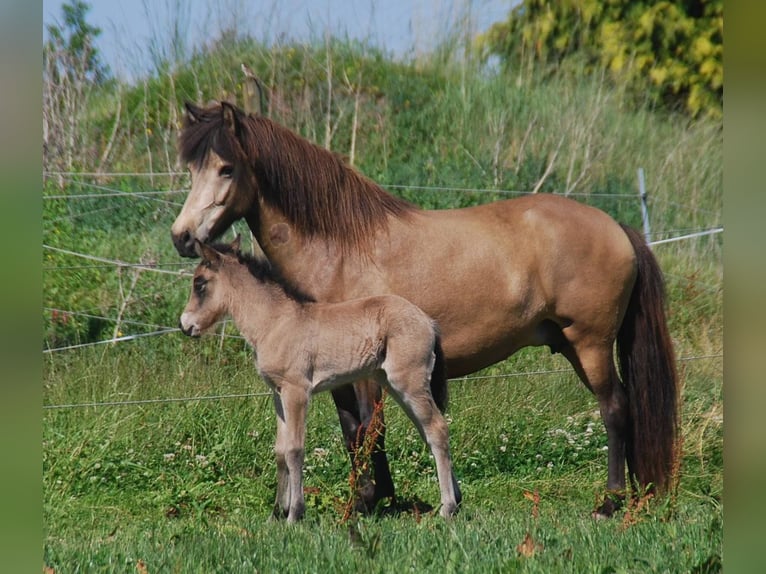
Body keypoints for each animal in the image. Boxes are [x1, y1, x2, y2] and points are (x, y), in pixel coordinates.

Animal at [179, 237, 461, 522]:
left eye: (200, 283)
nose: (185, 325)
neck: (275, 322)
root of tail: (428, 320)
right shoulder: (278, 393)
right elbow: (280, 450)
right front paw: (276, 513)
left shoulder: (296, 391)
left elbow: (294, 450)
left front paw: (294, 514)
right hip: (394, 385)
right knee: (429, 431)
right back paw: (455, 501)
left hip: (409, 383)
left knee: (437, 429)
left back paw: (447, 508)